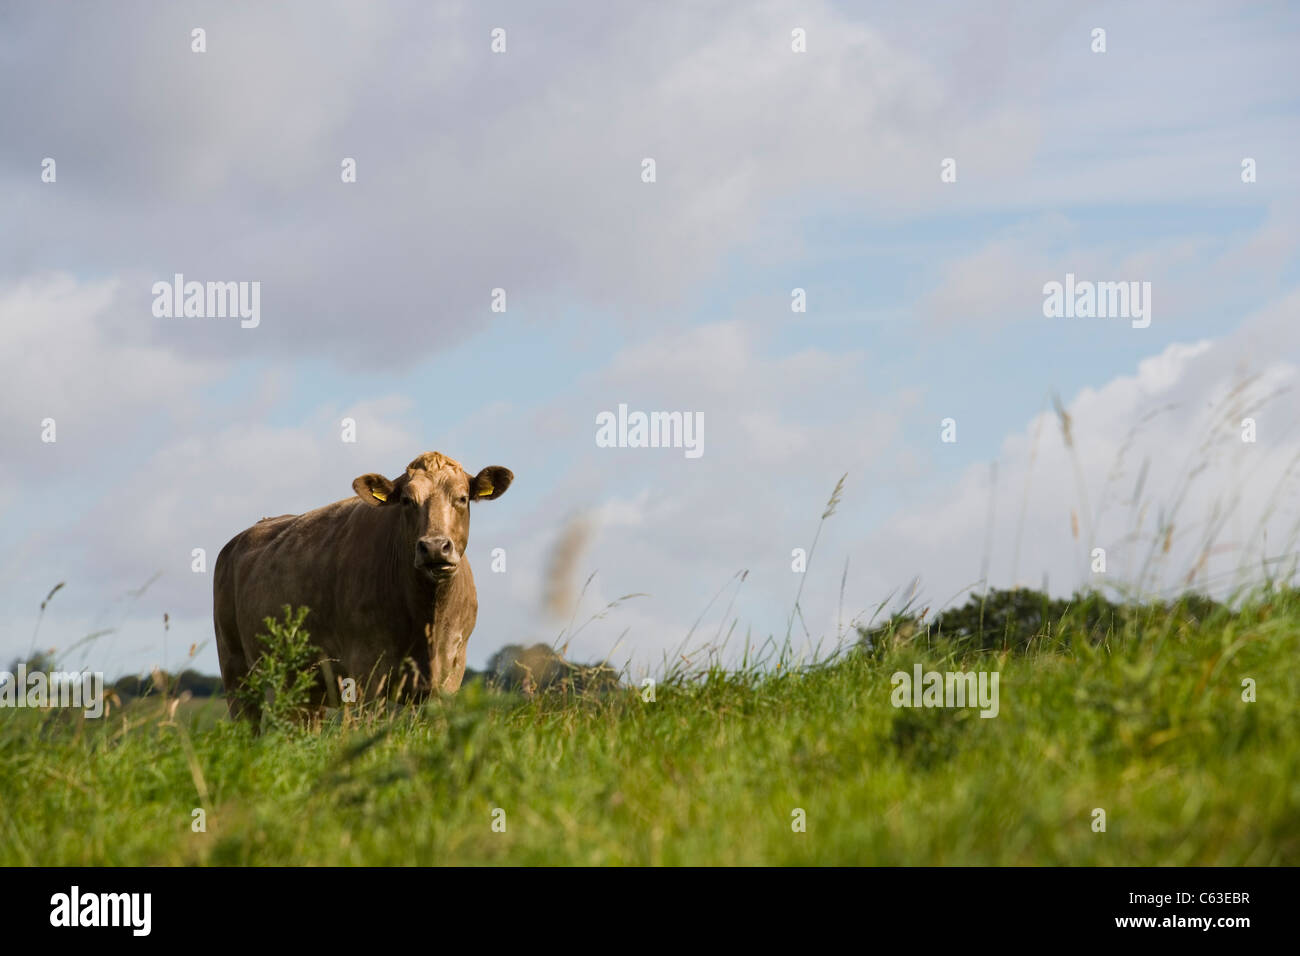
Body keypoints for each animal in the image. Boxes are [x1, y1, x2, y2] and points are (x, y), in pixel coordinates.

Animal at [214, 452, 512, 723]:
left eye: (461, 498)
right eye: (407, 500)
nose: (435, 547)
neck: (427, 616)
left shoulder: (449, 674)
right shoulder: (367, 673)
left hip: (305, 692)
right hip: (237, 672)